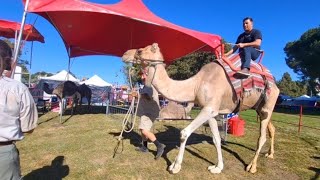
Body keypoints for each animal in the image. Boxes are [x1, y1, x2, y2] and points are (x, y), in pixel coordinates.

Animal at [122, 43, 280, 174]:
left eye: (140, 50)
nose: (124, 54)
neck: (196, 84)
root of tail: (273, 79)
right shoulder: (211, 111)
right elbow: (216, 139)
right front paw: (217, 167)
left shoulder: (209, 109)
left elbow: (184, 133)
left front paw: (175, 166)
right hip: (259, 107)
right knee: (271, 128)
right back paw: (270, 154)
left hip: (269, 101)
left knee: (262, 136)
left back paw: (252, 167)